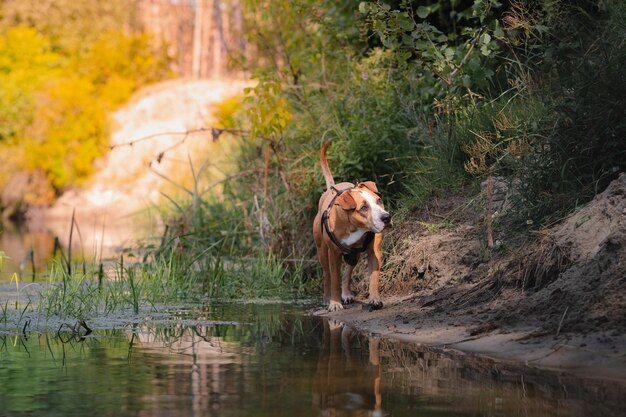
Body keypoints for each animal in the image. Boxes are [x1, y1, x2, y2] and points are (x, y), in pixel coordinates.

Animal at [312, 141, 390, 310]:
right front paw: (335, 303)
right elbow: (334, 279)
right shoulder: (333, 254)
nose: (387, 217)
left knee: (348, 271)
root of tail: (331, 189)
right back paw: (327, 298)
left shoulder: (374, 251)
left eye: (379, 201)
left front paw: (375, 298)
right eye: (364, 207)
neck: (355, 227)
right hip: (322, 251)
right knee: (327, 275)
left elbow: (374, 276)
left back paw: (346, 294)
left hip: (354, 254)